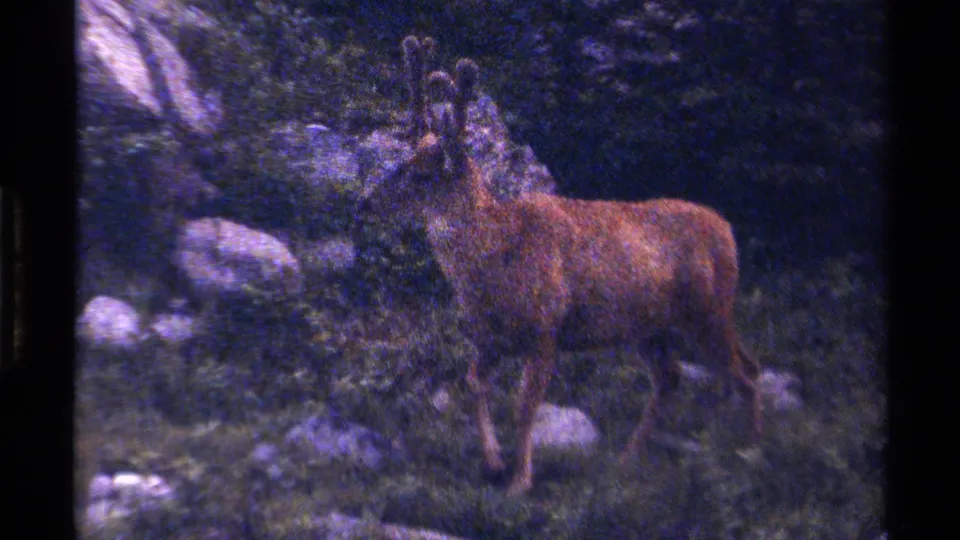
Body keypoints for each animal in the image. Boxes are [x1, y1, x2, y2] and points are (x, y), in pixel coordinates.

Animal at [360, 35, 764, 496]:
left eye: (421, 173)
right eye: (404, 160)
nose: (365, 202)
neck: (496, 252)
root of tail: (727, 231)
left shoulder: (545, 326)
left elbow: (524, 405)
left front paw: (520, 480)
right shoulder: (491, 335)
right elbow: (474, 382)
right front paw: (494, 462)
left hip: (707, 310)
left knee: (745, 373)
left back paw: (751, 453)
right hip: (651, 328)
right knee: (675, 377)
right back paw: (627, 460)